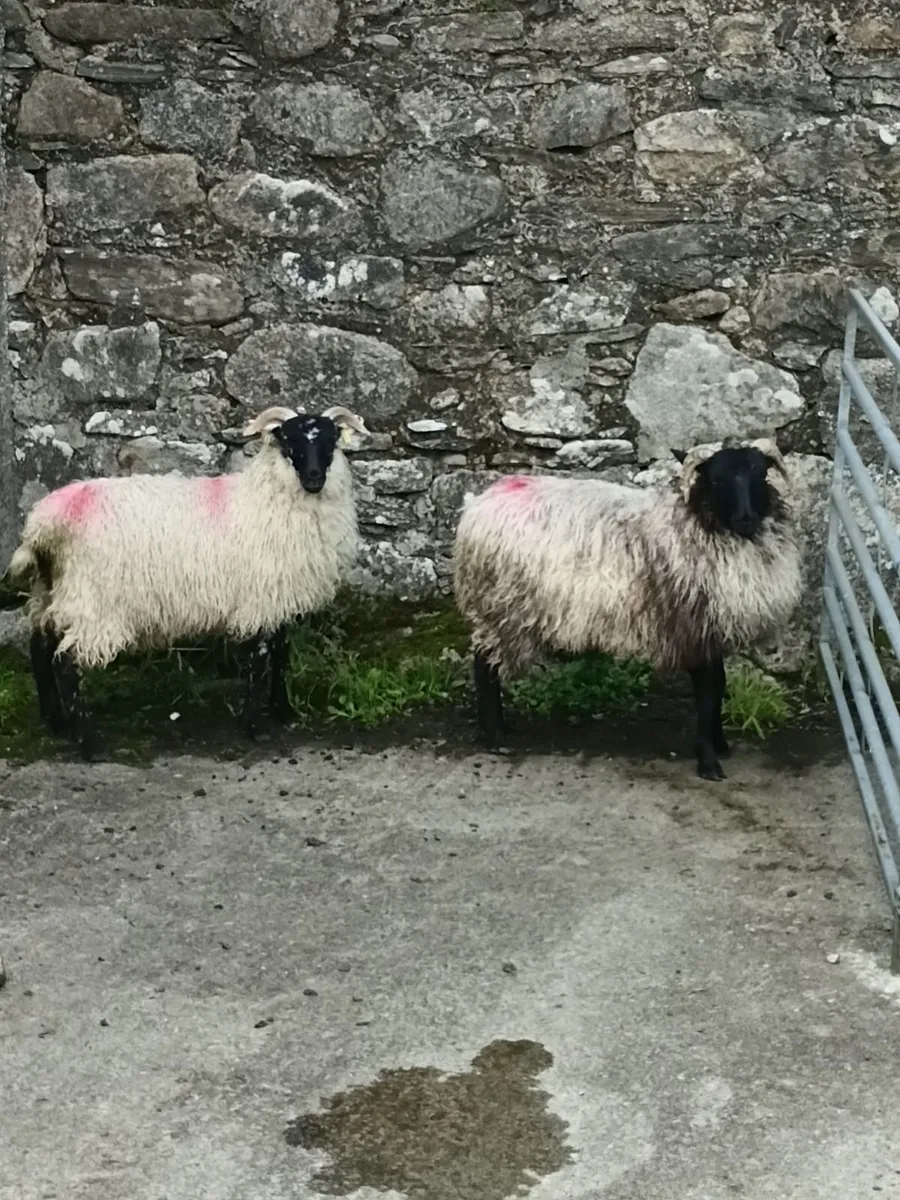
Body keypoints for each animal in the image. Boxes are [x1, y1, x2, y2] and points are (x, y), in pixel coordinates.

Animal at [5, 403, 368, 758]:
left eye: (331, 440)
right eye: (291, 442)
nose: (314, 478)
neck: (268, 498)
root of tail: (47, 522)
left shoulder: (277, 597)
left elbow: (281, 653)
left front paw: (283, 710)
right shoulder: (259, 599)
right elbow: (261, 659)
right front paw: (257, 724)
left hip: (53, 591)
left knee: (40, 648)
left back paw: (56, 722)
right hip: (94, 602)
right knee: (66, 663)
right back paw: (88, 742)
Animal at [452, 438, 802, 780]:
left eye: (760, 474)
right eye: (716, 479)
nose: (747, 519)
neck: (697, 523)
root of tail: (476, 504)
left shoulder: (708, 632)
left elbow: (719, 688)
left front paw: (720, 743)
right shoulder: (692, 627)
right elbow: (707, 694)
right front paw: (708, 759)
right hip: (501, 609)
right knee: (485, 667)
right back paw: (495, 737)